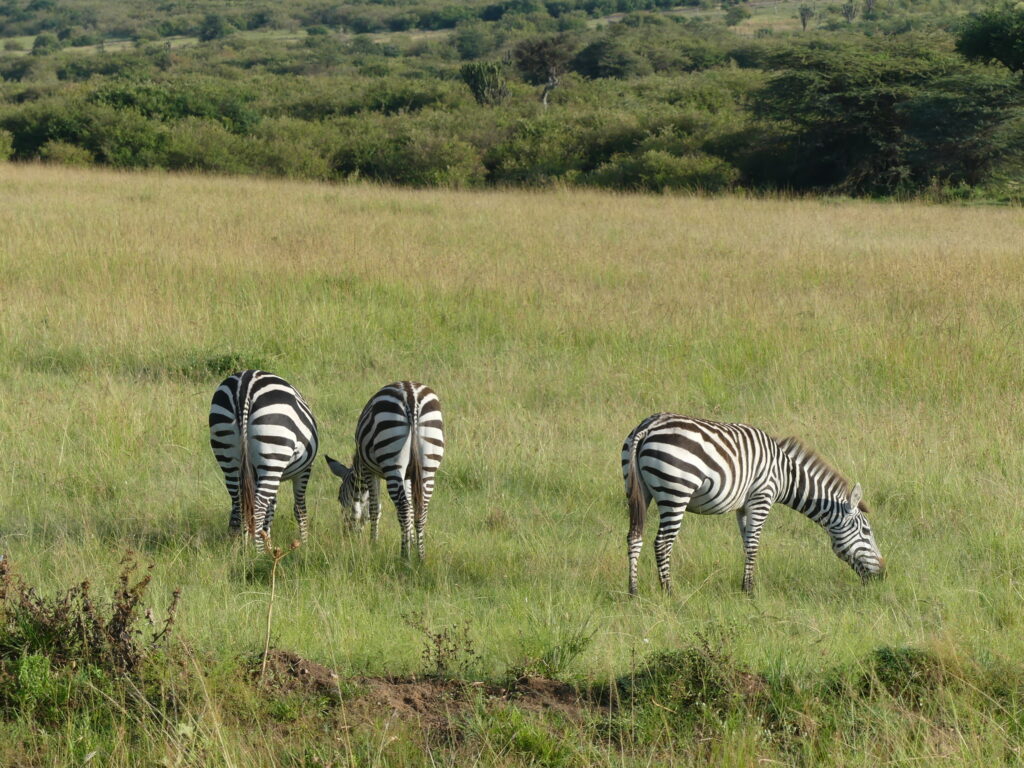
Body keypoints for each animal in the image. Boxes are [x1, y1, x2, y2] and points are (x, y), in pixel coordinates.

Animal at [208, 370, 317, 548]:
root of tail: (244, 386)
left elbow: (270, 509)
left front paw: (267, 544)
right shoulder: (304, 471)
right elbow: (299, 508)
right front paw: (305, 545)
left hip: (228, 455)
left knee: (239, 504)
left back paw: (241, 549)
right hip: (273, 452)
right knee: (258, 507)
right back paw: (257, 552)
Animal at [323, 382, 444, 561]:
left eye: (339, 498)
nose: (346, 535)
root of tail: (411, 397)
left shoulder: (368, 470)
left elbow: (374, 509)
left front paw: (374, 543)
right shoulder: (408, 476)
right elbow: (411, 508)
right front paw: (412, 542)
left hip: (392, 461)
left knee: (403, 508)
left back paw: (405, 557)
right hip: (428, 465)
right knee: (420, 510)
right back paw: (421, 558)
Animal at [618, 415, 884, 593]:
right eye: (866, 531)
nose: (883, 573)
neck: (785, 475)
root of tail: (647, 427)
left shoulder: (743, 507)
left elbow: (747, 544)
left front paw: (744, 585)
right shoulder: (761, 498)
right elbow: (755, 544)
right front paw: (749, 590)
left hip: (638, 490)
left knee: (634, 537)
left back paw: (633, 592)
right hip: (675, 491)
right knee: (662, 543)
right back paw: (669, 592)